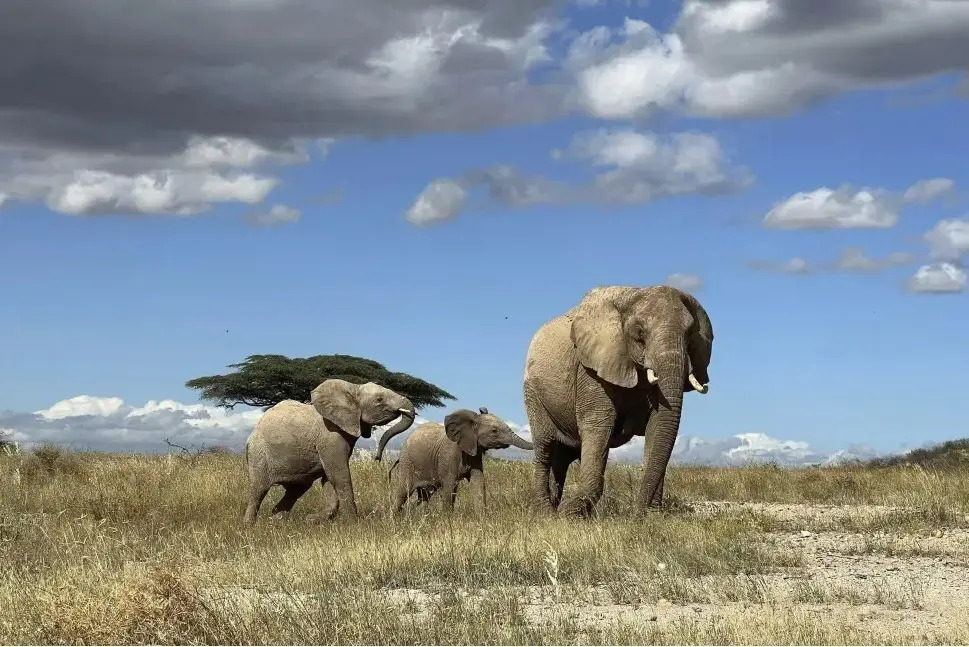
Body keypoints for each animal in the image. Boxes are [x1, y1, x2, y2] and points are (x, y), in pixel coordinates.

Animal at [244, 380, 414, 528]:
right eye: (379, 399)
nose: (377, 458)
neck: (353, 388)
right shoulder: (330, 436)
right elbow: (339, 475)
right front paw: (354, 523)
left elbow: (329, 478)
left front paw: (313, 520)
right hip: (259, 453)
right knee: (258, 489)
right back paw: (249, 527)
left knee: (296, 490)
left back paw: (276, 522)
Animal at [388, 408, 536, 512]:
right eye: (494, 431)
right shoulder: (448, 455)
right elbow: (450, 486)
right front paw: (447, 520)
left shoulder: (474, 452)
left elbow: (478, 482)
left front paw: (482, 518)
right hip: (408, 462)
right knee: (404, 491)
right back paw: (394, 519)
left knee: (424, 495)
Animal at [520, 286, 712, 520]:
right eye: (639, 332)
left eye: (690, 334)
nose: (635, 515)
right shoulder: (590, 369)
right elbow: (598, 424)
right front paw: (570, 515)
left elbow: (658, 427)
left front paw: (653, 516)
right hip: (533, 392)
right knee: (545, 446)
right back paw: (546, 512)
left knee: (564, 456)